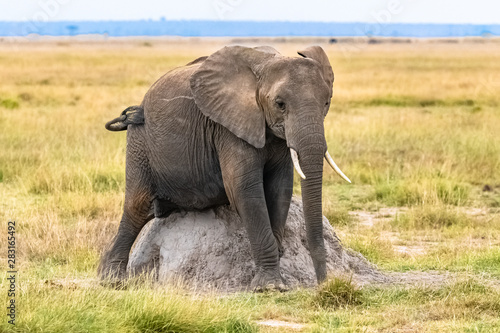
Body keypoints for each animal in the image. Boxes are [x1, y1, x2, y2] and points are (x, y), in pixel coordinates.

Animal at [98, 45, 352, 290]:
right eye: (280, 104)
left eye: (327, 103)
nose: (323, 283)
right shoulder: (227, 128)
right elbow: (244, 189)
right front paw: (270, 286)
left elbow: (280, 188)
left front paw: (277, 256)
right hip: (140, 143)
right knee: (137, 206)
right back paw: (111, 281)